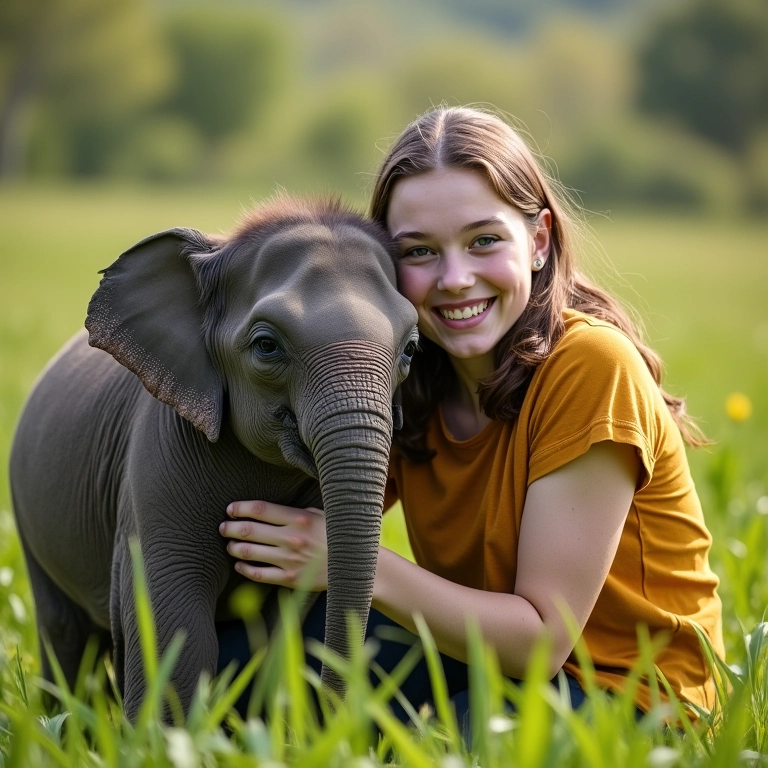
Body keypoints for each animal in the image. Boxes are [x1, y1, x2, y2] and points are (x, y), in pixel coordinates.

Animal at [9, 195, 419, 719]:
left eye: (410, 350)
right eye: (266, 346)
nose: (337, 716)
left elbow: (276, 629)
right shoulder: (158, 459)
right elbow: (176, 627)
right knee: (64, 633)